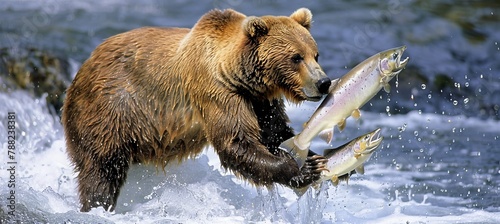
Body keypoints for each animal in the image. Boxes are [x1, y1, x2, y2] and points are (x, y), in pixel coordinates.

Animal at [61, 8, 332, 212]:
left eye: (316, 54)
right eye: (296, 57)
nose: (323, 82)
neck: (237, 72)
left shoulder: (259, 101)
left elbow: (274, 132)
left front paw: (314, 157)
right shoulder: (217, 92)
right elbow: (236, 142)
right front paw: (302, 169)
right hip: (108, 109)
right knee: (102, 170)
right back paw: (97, 205)